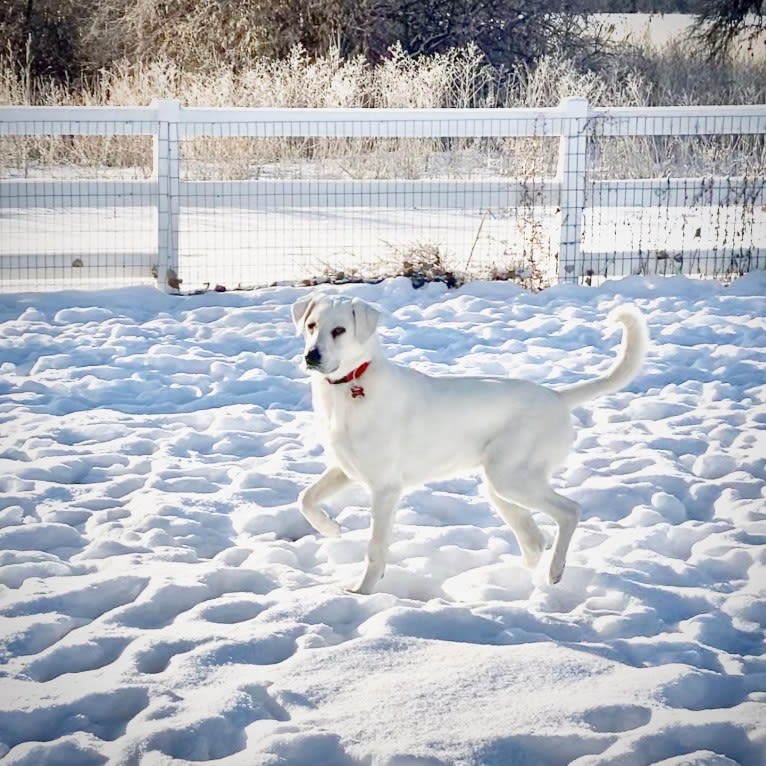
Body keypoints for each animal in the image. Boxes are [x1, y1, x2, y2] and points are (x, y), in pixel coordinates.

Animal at [292, 294, 648, 592]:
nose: (311, 356)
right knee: (534, 540)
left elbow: (375, 549)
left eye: (339, 330)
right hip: (500, 485)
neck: (349, 387)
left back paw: (554, 571)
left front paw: (362, 593)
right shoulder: (344, 469)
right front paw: (330, 529)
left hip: (510, 478)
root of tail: (558, 397)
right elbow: (305, 498)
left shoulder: (385, 488)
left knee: (570, 512)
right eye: (312, 326)